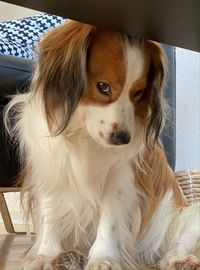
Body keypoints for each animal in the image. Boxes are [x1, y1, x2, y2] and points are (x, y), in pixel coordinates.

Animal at [4, 20, 200, 268]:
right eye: (103, 87)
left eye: (138, 93)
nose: (123, 139)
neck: (83, 133)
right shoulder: (51, 167)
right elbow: (51, 215)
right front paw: (45, 255)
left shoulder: (120, 178)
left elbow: (109, 222)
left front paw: (102, 258)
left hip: (190, 218)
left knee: (170, 254)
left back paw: (182, 261)